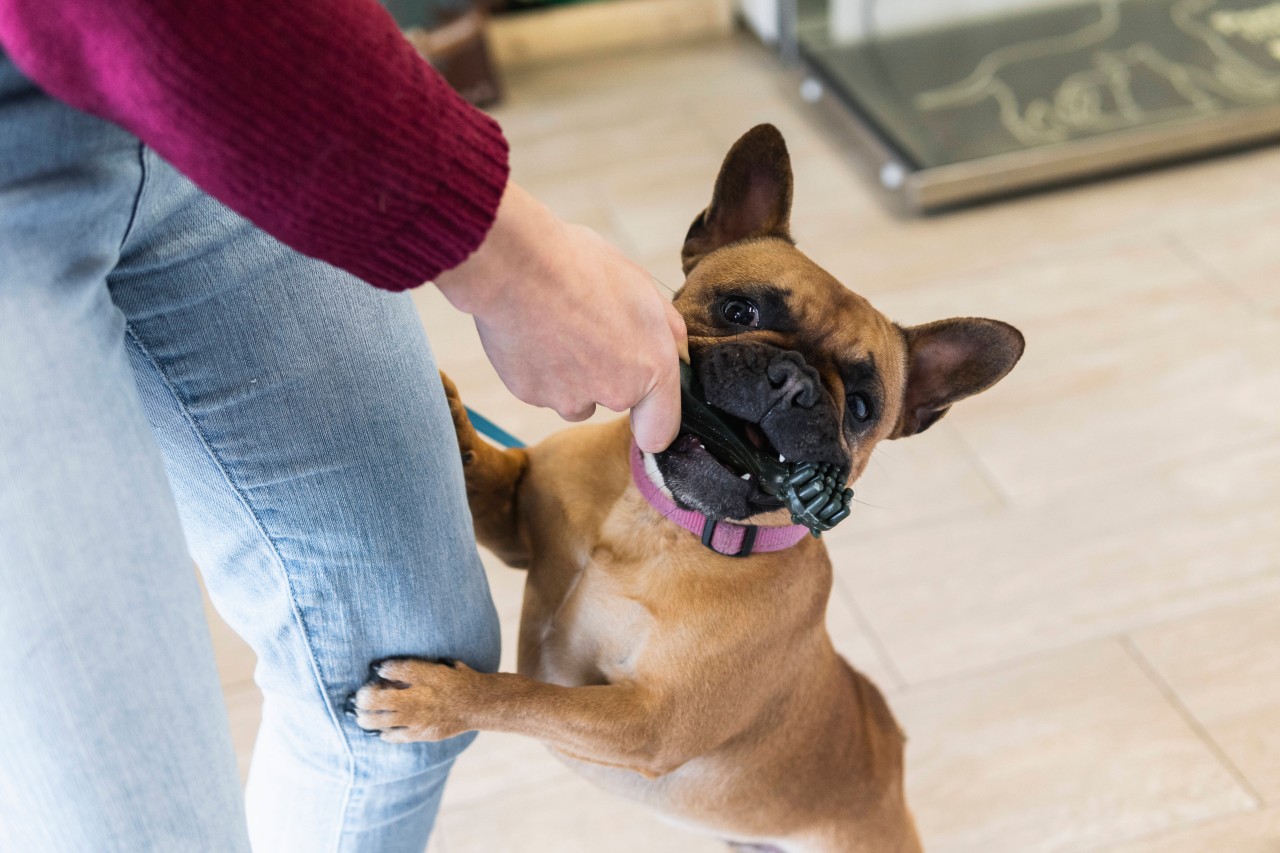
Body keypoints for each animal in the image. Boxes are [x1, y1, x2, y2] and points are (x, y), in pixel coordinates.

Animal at [353, 122, 1029, 845]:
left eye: (864, 406)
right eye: (739, 309)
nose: (794, 380)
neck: (659, 519)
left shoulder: (648, 721)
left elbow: (528, 697)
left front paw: (439, 700)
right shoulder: (516, 532)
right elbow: (487, 479)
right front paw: (455, 424)